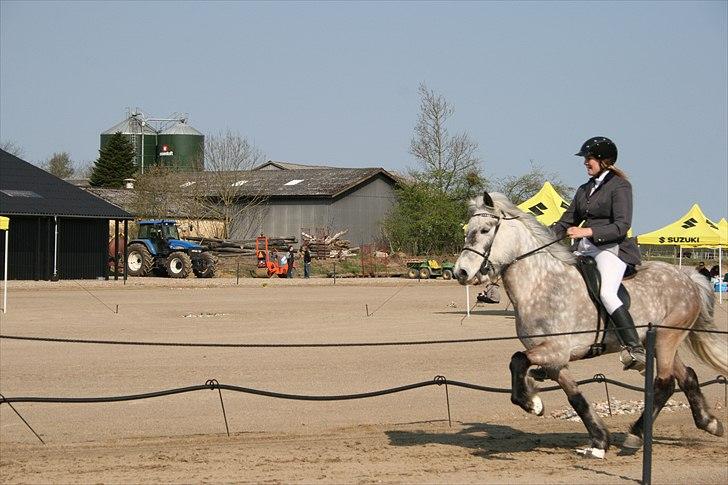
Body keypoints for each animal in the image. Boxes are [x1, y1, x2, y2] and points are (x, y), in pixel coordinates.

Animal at [458, 190, 724, 458]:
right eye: (468, 230)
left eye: (484, 230)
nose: (461, 273)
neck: (540, 284)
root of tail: (687, 277)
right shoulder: (555, 360)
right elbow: (575, 397)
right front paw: (599, 440)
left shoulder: (556, 349)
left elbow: (517, 360)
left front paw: (532, 403)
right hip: (658, 341)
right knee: (685, 376)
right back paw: (710, 423)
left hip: (666, 339)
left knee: (664, 384)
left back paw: (635, 437)